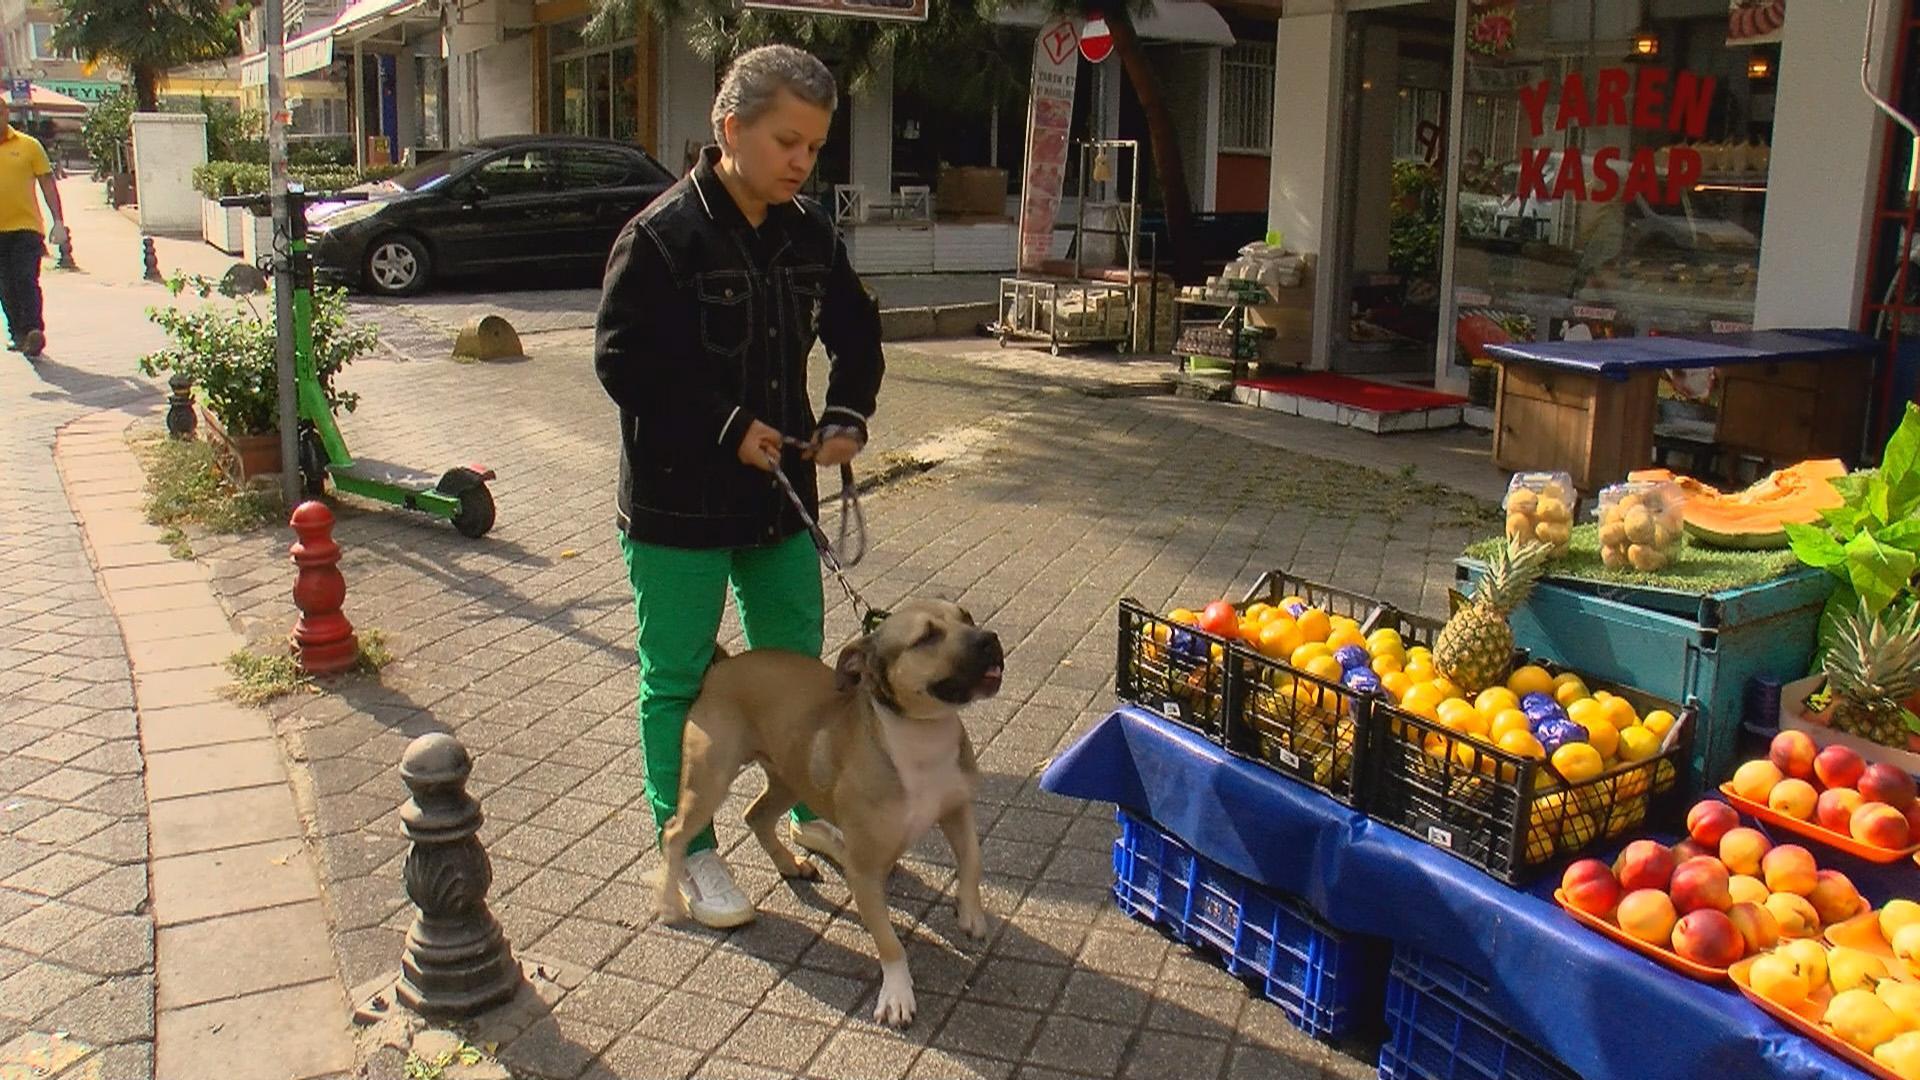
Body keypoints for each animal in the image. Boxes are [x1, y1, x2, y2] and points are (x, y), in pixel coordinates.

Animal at [652, 595, 1006, 1022]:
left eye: (967, 617)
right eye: (926, 637)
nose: (989, 638)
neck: (919, 735)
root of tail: (724, 665)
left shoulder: (957, 809)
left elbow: (973, 860)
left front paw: (971, 913)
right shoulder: (864, 872)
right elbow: (889, 942)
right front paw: (897, 992)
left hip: (790, 779)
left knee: (756, 814)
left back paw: (790, 863)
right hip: (708, 783)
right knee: (674, 832)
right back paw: (668, 903)